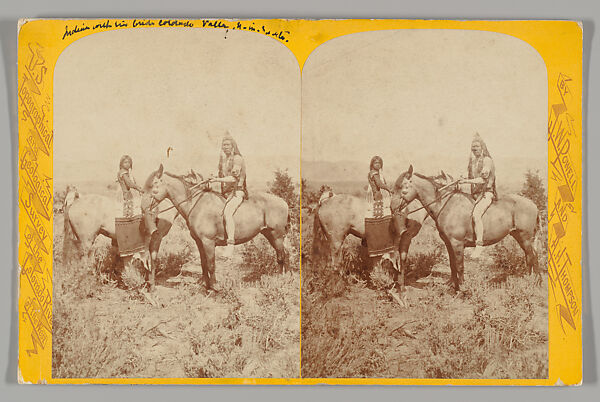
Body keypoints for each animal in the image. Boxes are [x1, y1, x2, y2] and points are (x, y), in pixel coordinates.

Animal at [143, 165, 288, 290]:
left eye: (153, 185)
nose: (143, 207)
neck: (196, 205)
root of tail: (283, 201)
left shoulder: (208, 242)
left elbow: (211, 264)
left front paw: (215, 287)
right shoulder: (199, 242)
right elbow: (204, 264)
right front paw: (207, 286)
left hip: (277, 235)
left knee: (281, 256)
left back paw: (281, 279)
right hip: (269, 234)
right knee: (281, 255)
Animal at [392, 165, 540, 290]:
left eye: (401, 186)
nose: (392, 208)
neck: (446, 205)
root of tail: (533, 204)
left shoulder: (457, 244)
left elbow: (459, 266)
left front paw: (462, 289)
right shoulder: (449, 243)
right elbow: (452, 265)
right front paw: (454, 287)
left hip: (525, 237)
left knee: (531, 256)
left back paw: (533, 282)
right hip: (519, 236)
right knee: (530, 256)